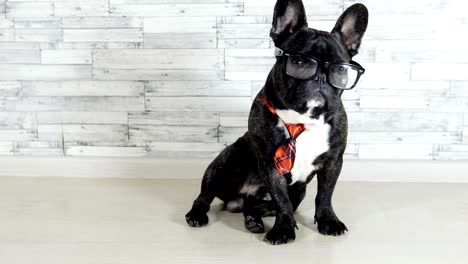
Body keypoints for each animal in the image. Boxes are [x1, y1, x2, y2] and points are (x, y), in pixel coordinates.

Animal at [185, 0, 368, 245]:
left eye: (340, 70)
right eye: (299, 62)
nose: (320, 79)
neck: (303, 120)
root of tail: (240, 197)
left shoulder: (333, 161)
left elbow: (324, 194)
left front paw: (328, 221)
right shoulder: (270, 164)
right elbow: (282, 200)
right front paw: (283, 230)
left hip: (293, 193)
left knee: (259, 206)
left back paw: (253, 220)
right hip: (223, 163)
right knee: (204, 196)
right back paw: (197, 215)